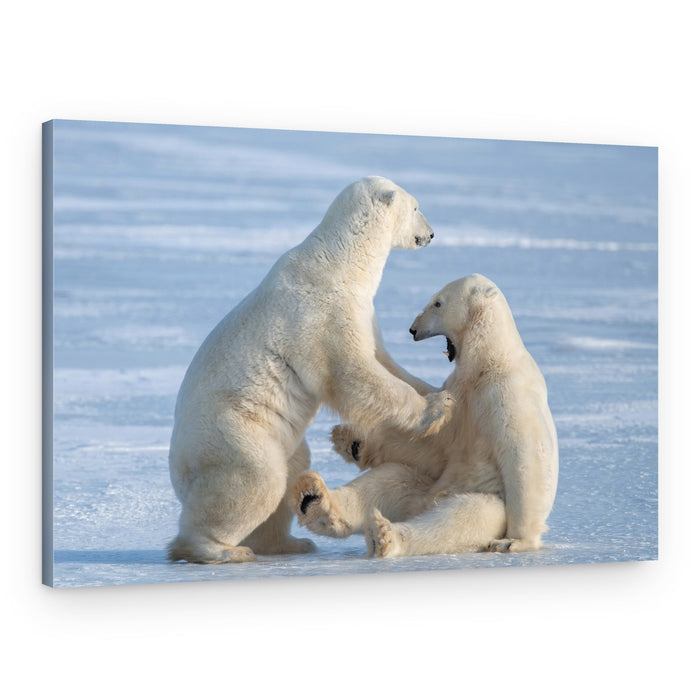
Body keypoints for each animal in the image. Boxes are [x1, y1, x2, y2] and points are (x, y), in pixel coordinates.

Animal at [167, 176, 455, 564]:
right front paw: (437, 409)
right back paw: (221, 549)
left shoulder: (362, 313)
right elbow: (353, 373)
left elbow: (383, 361)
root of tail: (178, 469)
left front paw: (438, 391)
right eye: (416, 207)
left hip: (277, 434)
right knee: (258, 480)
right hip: (234, 432)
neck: (339, 265)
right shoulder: (323, 316)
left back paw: (289, 543)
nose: (431, 234)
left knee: (293, 467)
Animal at [291, 273, 558, 557]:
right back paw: (314, 499)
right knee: (390, 480)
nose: (413, 329)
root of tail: (422, 506)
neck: (488, 362)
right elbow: (433, 444)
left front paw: (514, 541)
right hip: (424, 488)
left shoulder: (506, 392)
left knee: (464, 516)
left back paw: (383, 536)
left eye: (437, 303)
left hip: (479, 493)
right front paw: (351, 439)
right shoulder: (458, 393)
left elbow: (526, 456)